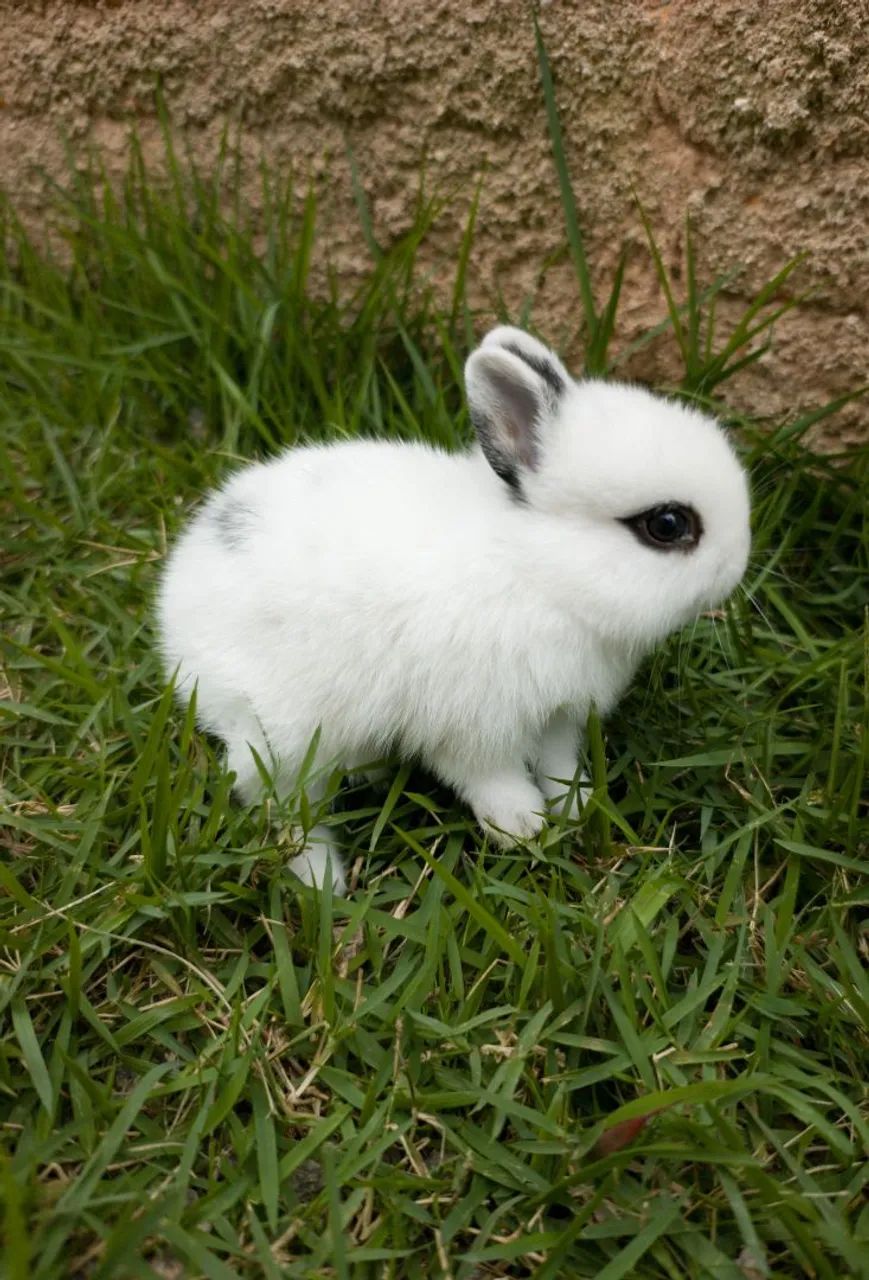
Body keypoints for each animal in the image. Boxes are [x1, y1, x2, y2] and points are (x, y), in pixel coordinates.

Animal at [158, 326, 751, 893]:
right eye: (667, 525)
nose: (739, 563)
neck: (539, 570)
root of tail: (174, 608)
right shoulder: (468, 723)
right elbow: (488, 778)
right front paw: (524, 828)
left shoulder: (556, 716)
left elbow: (559, 766)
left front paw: (579, 807)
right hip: (283, 736)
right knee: (282, 807)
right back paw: (324, 883)